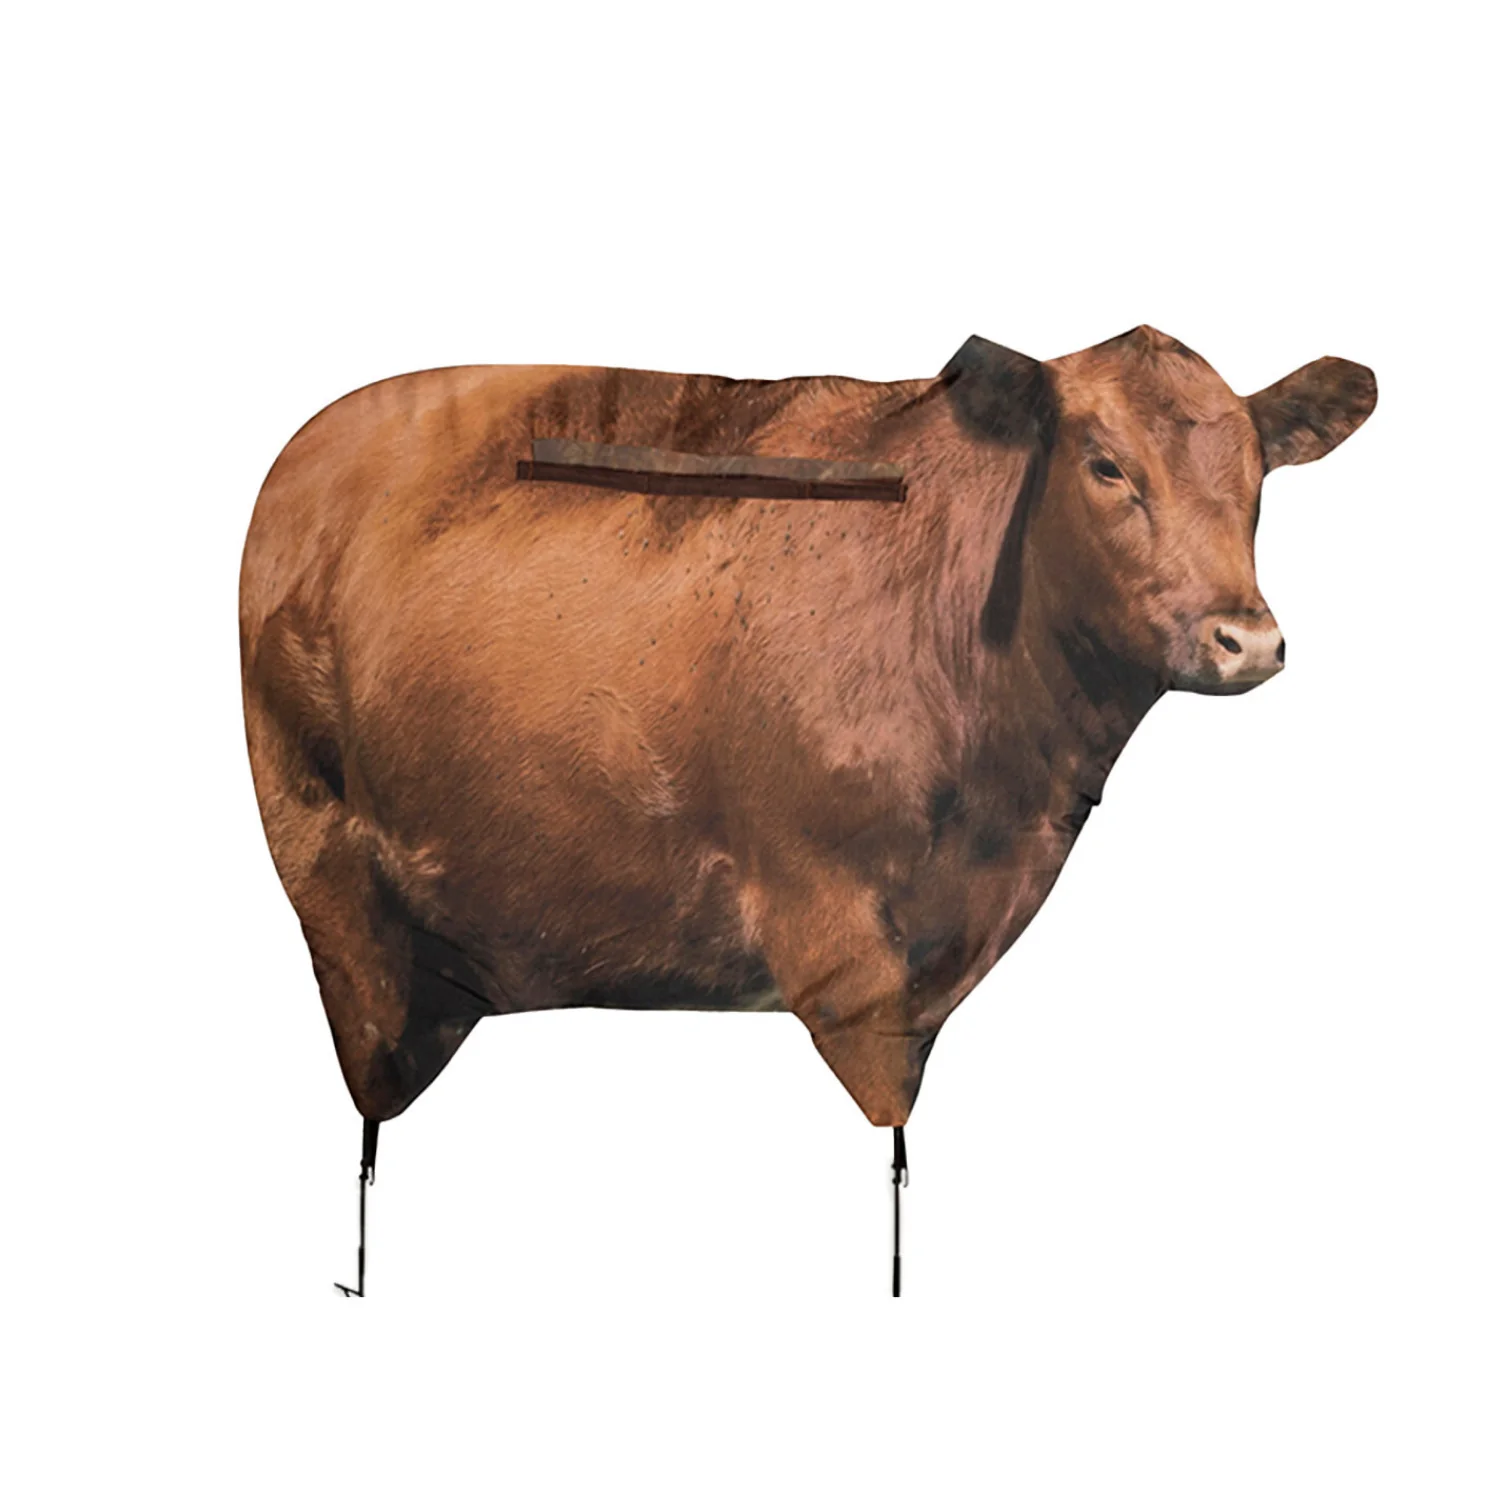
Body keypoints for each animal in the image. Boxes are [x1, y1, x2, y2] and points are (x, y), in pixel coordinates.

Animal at [241, 327, 1374, 1164]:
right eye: (1106, 467)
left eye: (1259, 476)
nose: (1247, 638)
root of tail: (306, 448)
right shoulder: (821, 912)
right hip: (326, 867)